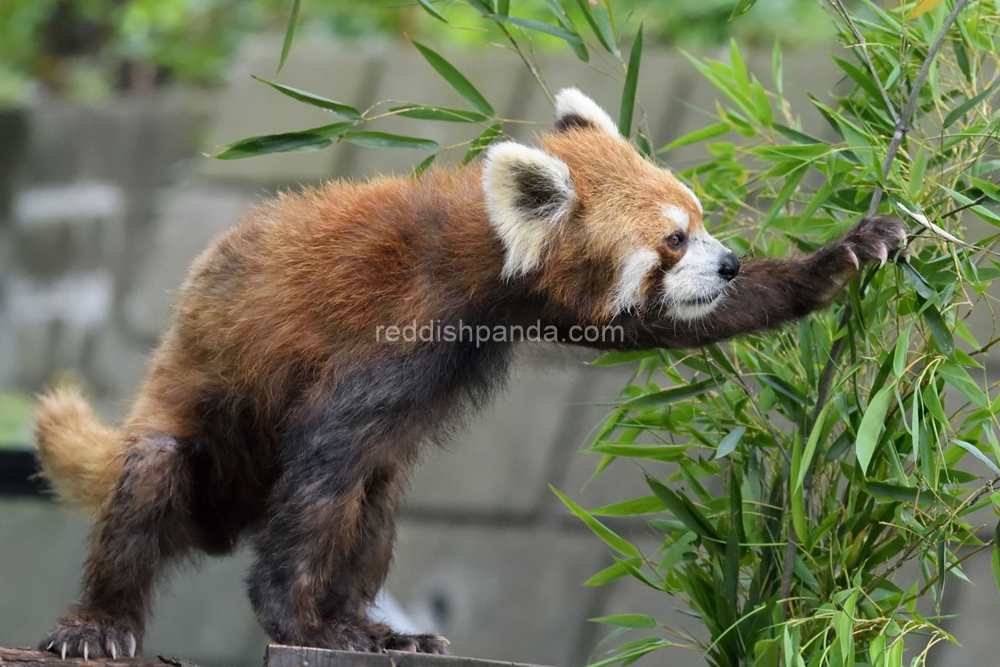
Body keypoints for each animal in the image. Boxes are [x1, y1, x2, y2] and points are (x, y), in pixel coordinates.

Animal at [33, 88, 908, 656]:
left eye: (697, 222)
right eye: (672, 239)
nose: (725, 262)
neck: (479, 262)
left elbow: (664, 322)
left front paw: (837, 258)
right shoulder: (386, 335)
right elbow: (322, 465)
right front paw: (296, 622)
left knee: (376, 503)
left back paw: (380, 628)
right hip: (190, 445)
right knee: (151, 485)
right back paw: (99, 624)